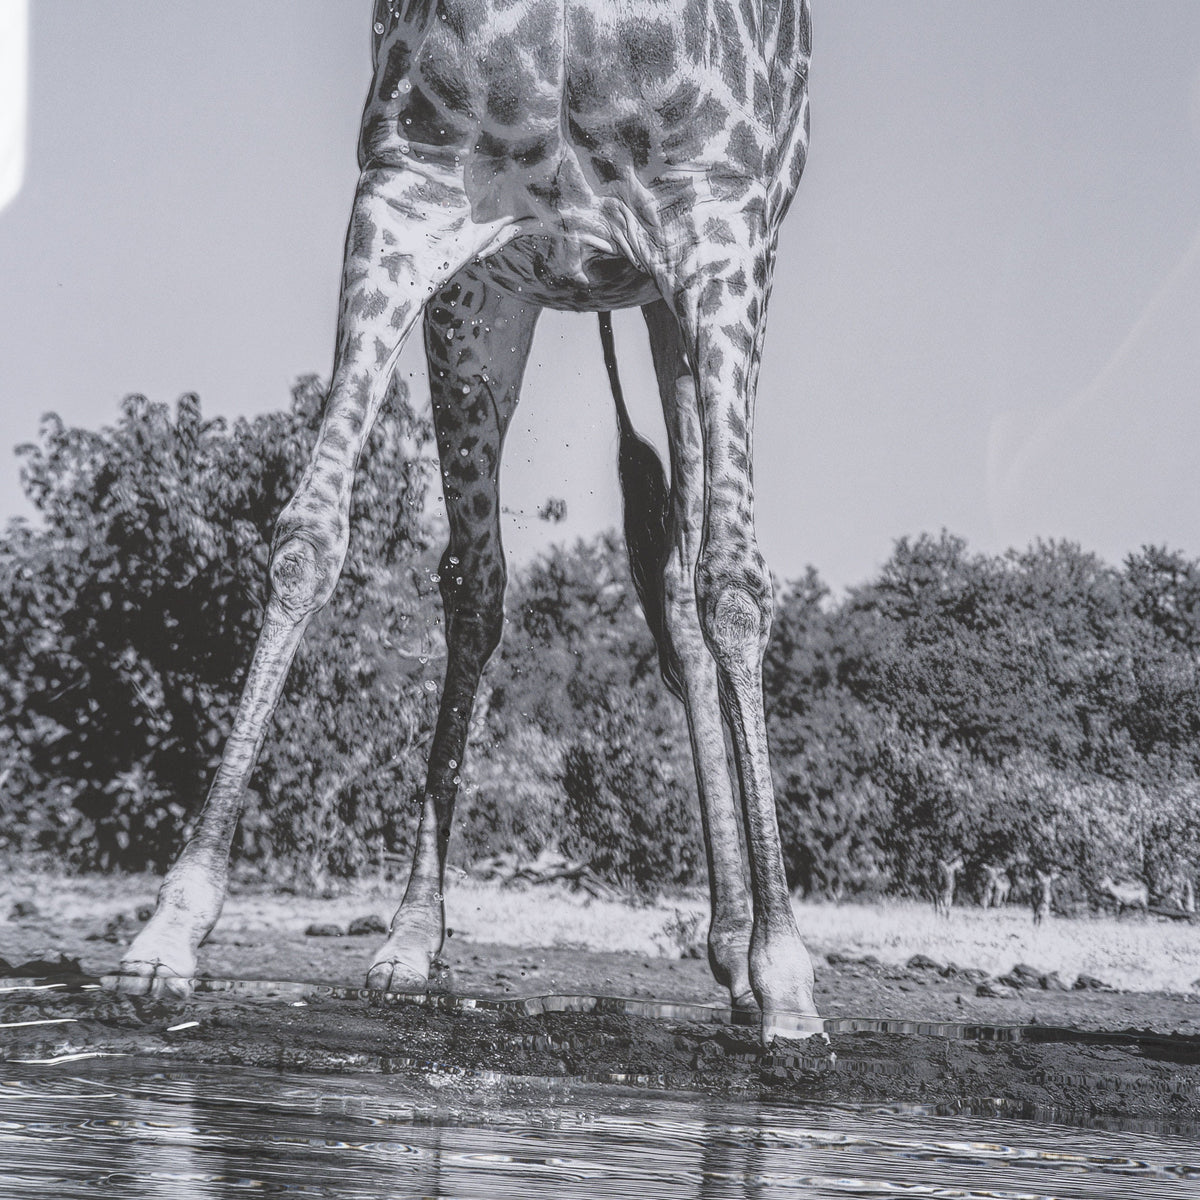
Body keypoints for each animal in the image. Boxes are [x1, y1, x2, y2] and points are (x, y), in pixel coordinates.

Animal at [116, 0, 817, 1040]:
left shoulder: (719, 229)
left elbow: (733, 584)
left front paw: (787, 982)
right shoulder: (410, 194)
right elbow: (309, 537)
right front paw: (168, 935)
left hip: (677, 302)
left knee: (691, 587)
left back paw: (739, 953)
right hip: (489, 299)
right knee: (483, 587)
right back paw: (411, 938)